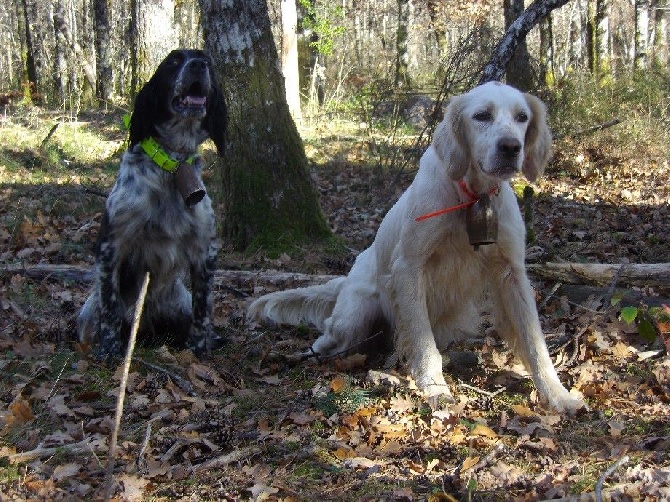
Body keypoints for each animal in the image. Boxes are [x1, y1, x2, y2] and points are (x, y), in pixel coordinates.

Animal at [79, 49, 228, 358]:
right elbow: (109, 308)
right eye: (173, 61)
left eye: (206, 59)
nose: (199, 65)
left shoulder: (204, 250)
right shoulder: (110, 246)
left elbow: (203, 309)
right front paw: (109, 350)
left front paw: (199, 350)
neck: (172, 164)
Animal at [249, 81, 584, 412]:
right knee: (328, 335)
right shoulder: (409, 268)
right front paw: (435, 388)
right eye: (482, 116)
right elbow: (423, 342)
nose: (511, 147)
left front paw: (557, 394)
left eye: (522, 117)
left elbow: (534, 343)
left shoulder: (511, 273)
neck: (471, 197)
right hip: (354, 315)